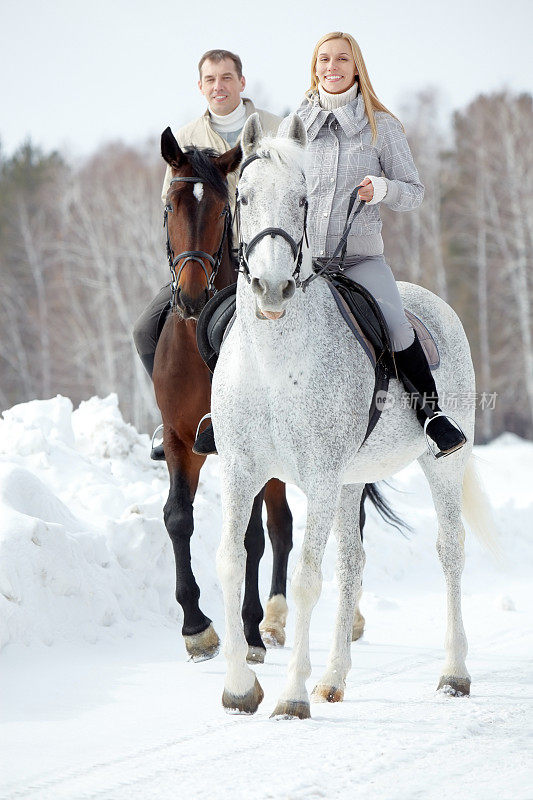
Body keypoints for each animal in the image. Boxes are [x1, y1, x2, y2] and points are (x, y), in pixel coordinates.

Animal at [210, 112, 496, 720]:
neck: (275, 361)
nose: (272, 288)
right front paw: (241, 687)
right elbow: (230, 562)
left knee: (450, 551)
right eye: (243, 197)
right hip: (348, 483)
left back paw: (453, 672)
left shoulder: (317, 479)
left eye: (301, 200)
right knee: (352, 563)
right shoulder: (243, 472)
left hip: (438, 466)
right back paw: (334, 678)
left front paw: (291, 697)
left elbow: (305, 580)